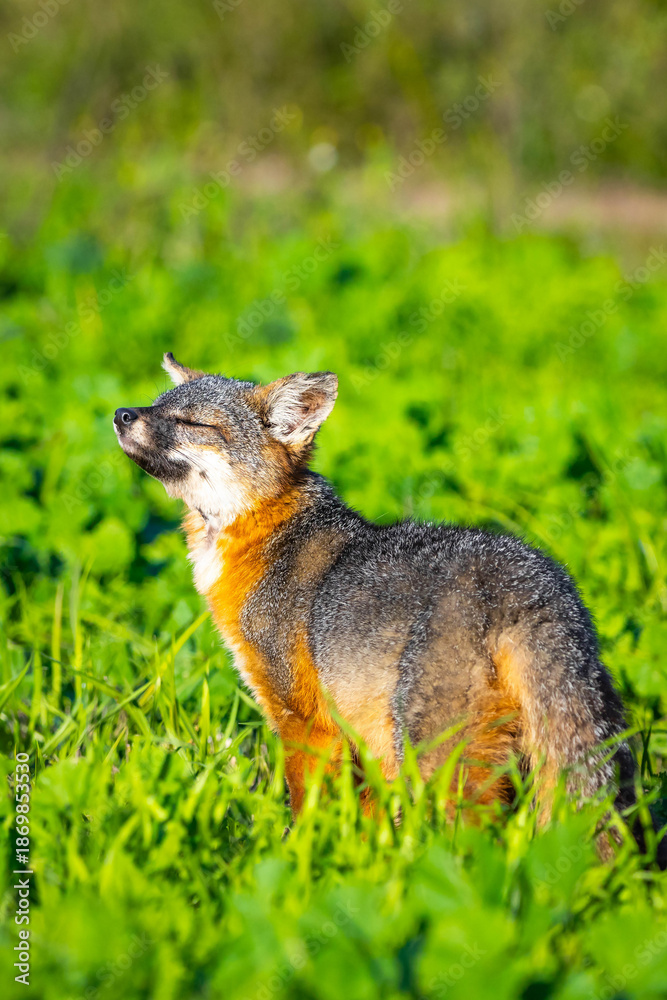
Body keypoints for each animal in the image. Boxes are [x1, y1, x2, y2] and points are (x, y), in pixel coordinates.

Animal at [114, 353, 640, 836]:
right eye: (158, 404)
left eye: (193, 422)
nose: (121, 413)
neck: (269, 538)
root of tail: (524, 582)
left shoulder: (303, 718)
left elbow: (307, 806)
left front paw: (300, 854)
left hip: (432, 753)